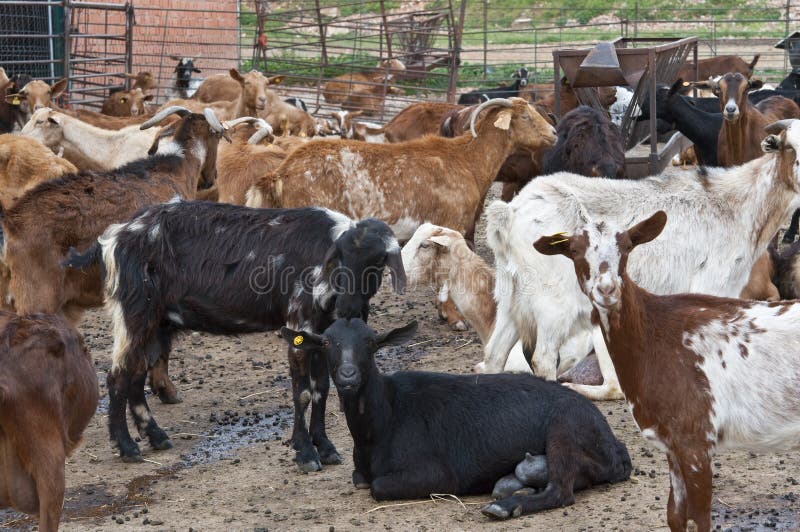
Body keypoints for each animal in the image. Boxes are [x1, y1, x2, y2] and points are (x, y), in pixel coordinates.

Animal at [66, 201, 406, 470]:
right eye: (339, 260)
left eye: (376, 263)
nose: (348, 309)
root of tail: (114, 235)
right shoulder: (300, 326)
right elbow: (303, 393)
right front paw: (305, 454)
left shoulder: (323, 336)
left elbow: (321, 389)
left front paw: (325, 447)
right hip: (134, 314)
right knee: (117, 377)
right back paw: (127, 448)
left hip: (156, 324)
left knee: (136, 376)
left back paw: (157, 438)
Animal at [280, 320, 632, 520]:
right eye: (327, 342)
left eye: (370, 343)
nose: (348, 375)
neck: (385, 417)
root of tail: (615, 447)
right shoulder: (361, 471)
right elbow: (360, 478)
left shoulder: (436, 474)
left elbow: (377, 486)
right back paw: (514, 482)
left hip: (565, 429)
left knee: (561, 491)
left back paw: (505, 506)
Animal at [536, 207, 800, 532]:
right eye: (574, 250)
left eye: (626, 247)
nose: (607, 289)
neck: (653, 334)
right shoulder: (673, 444)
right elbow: (675, 514)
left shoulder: (695, 441)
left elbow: (699, 518)